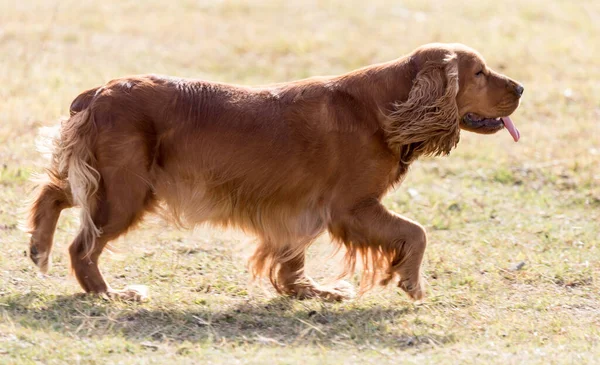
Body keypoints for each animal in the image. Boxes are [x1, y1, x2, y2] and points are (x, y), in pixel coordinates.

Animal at [28, 42, 524, 300]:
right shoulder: (351, 208)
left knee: (53, 193)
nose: (520, 87)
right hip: (126, 191)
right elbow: (416, 232)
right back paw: (107, 293)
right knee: (82, 246)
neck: (387, 107)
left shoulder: (299, 210)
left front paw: (309, 290)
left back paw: (37, 247)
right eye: (479, 73)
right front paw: (411, 282)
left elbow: (291, 259)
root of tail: (99, 92)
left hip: (108, 183)